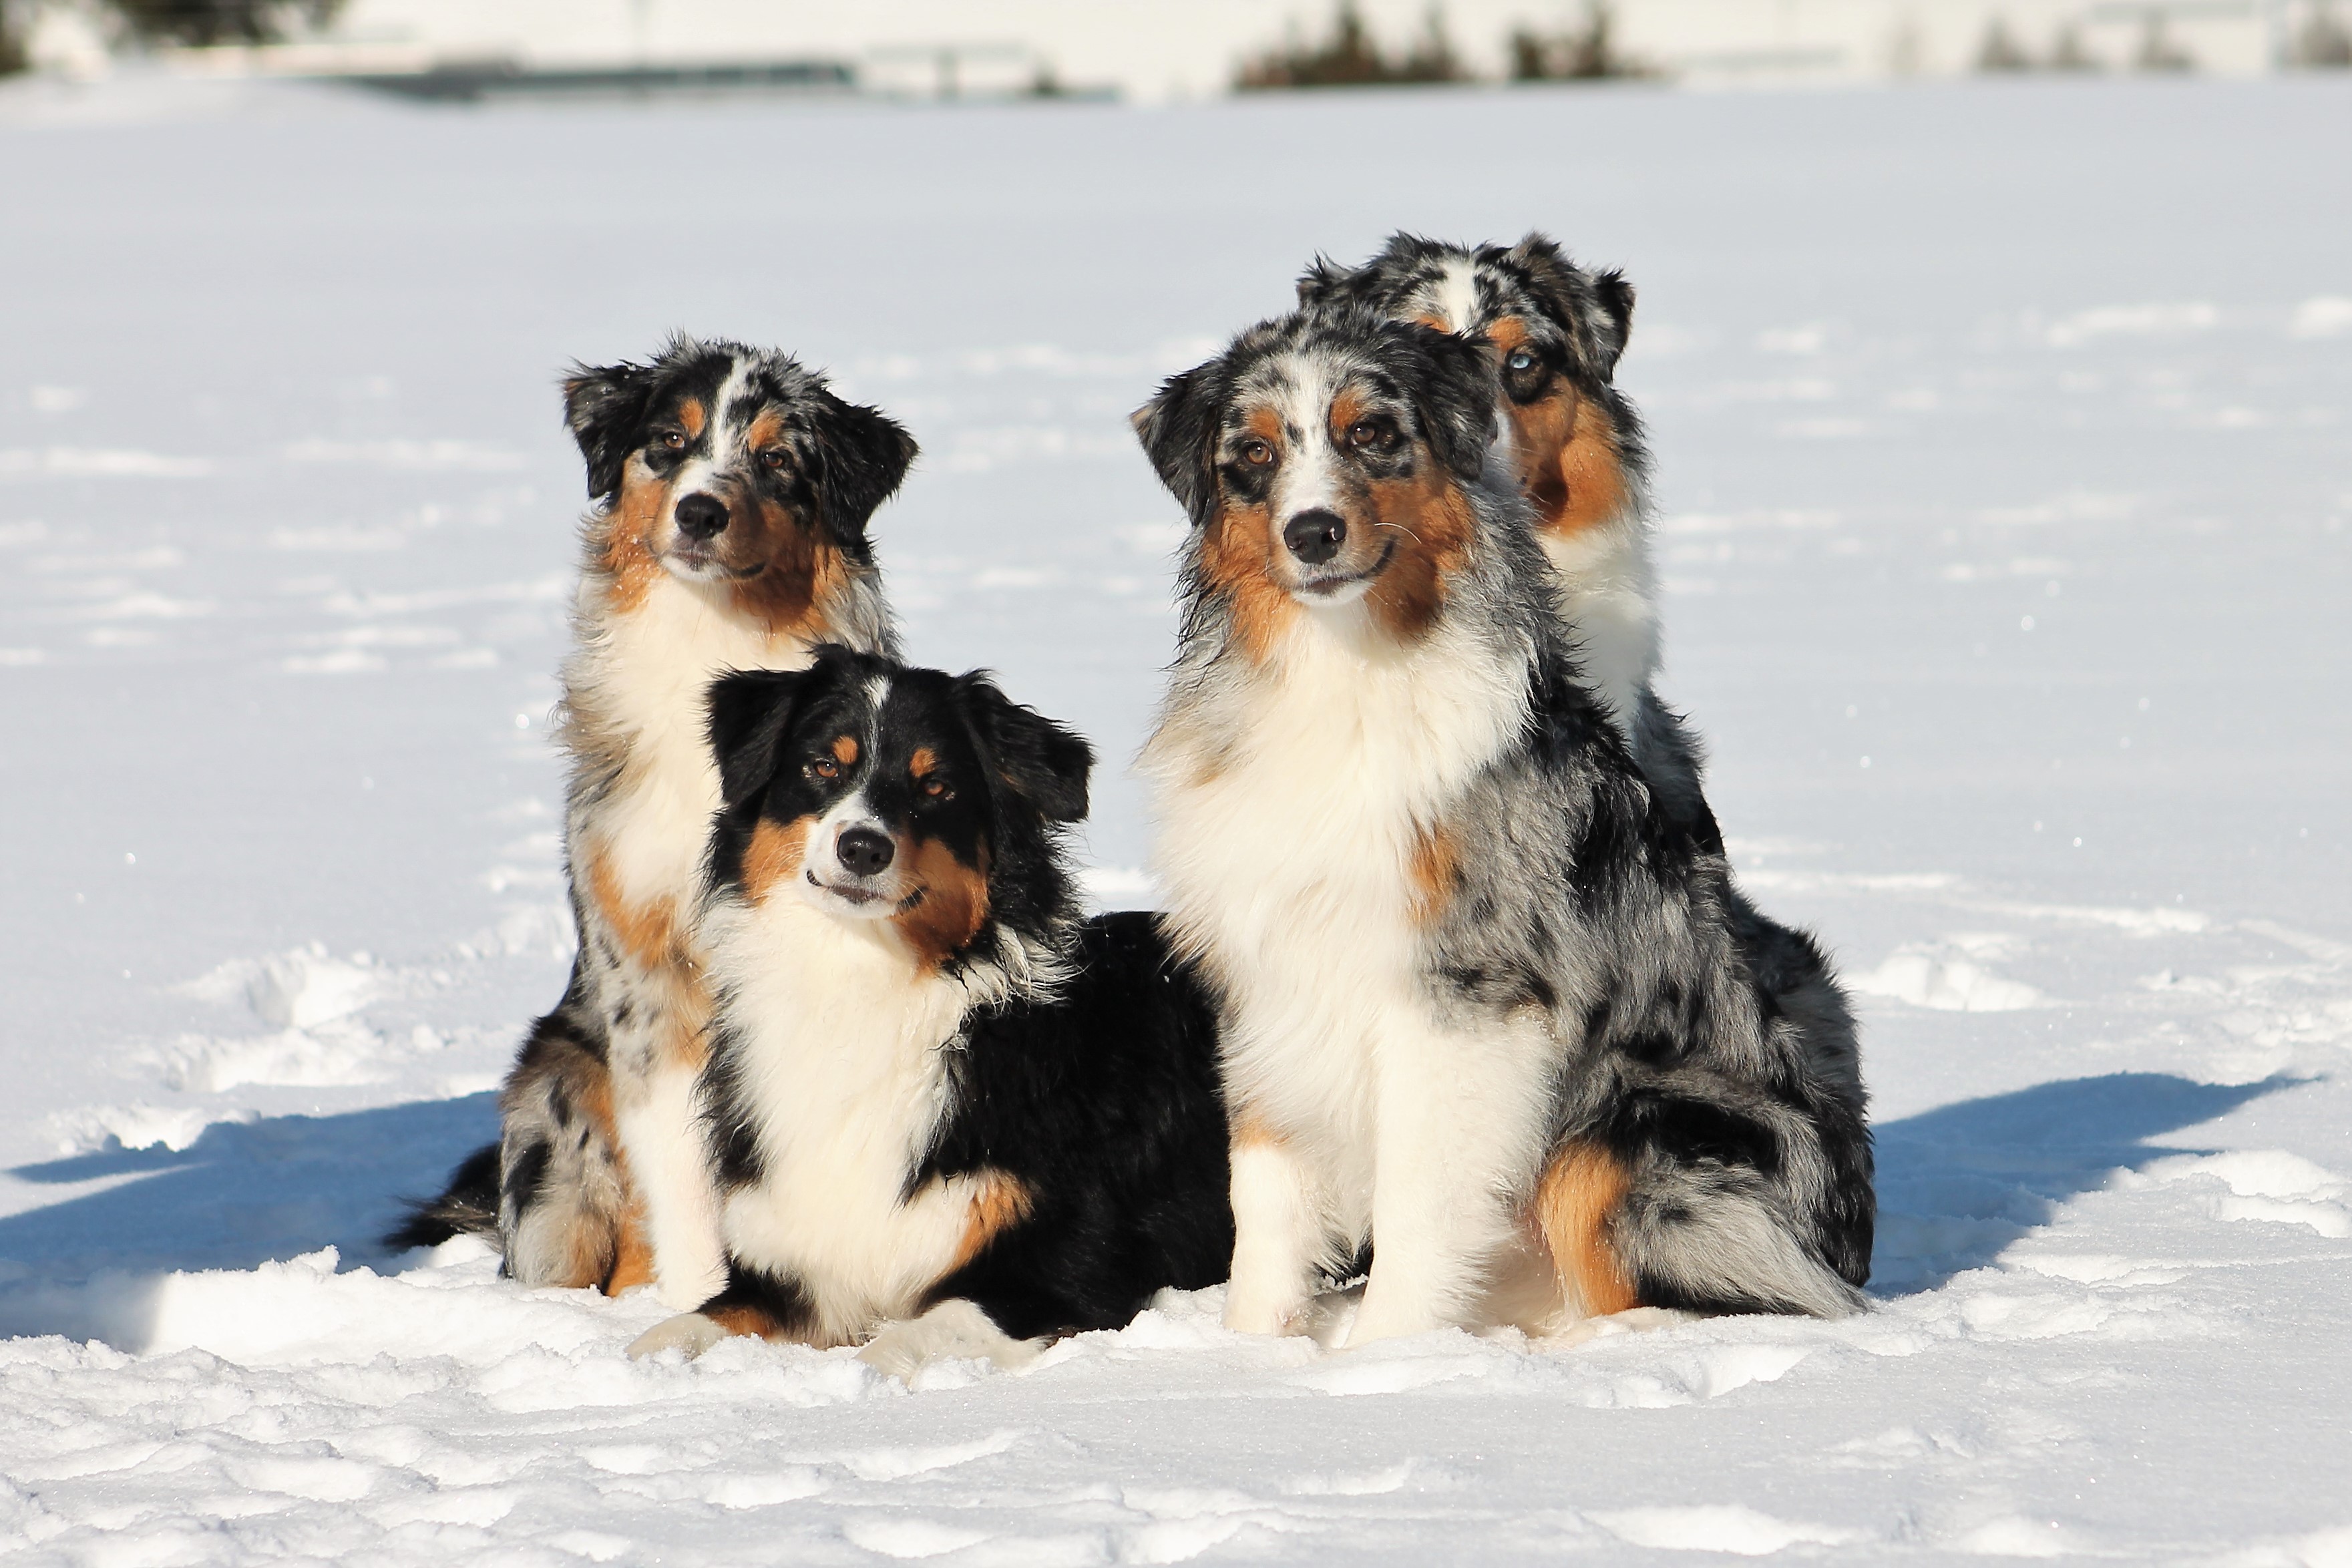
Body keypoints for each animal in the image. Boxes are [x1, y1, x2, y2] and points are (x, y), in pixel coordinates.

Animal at [395, 343, 917, 1316]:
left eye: (778, 458)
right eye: (669, 442)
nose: (701, 511)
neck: (711, 643)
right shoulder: (645, 966)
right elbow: (683, 1163)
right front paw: (702, 1298)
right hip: (554, 1097)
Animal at [625, 648, 1241, 1372]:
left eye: (937, 786)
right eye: (823, 766)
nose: (863, 847)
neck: (863, 981)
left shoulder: (1063, 1272)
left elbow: (909, 1337)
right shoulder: (792, 1272)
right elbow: (692, 1324)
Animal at [1133, 305, 1872, 1354]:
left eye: (1372, 432)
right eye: (1254, 454)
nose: (1312, 532)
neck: (1344, 670)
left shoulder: (1467, 986)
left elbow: (1418, 1195)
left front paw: (1383, 1359)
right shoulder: (1269, 972)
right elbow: (1265, 1189)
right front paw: (1248, 1351)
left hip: (1631, 1131)